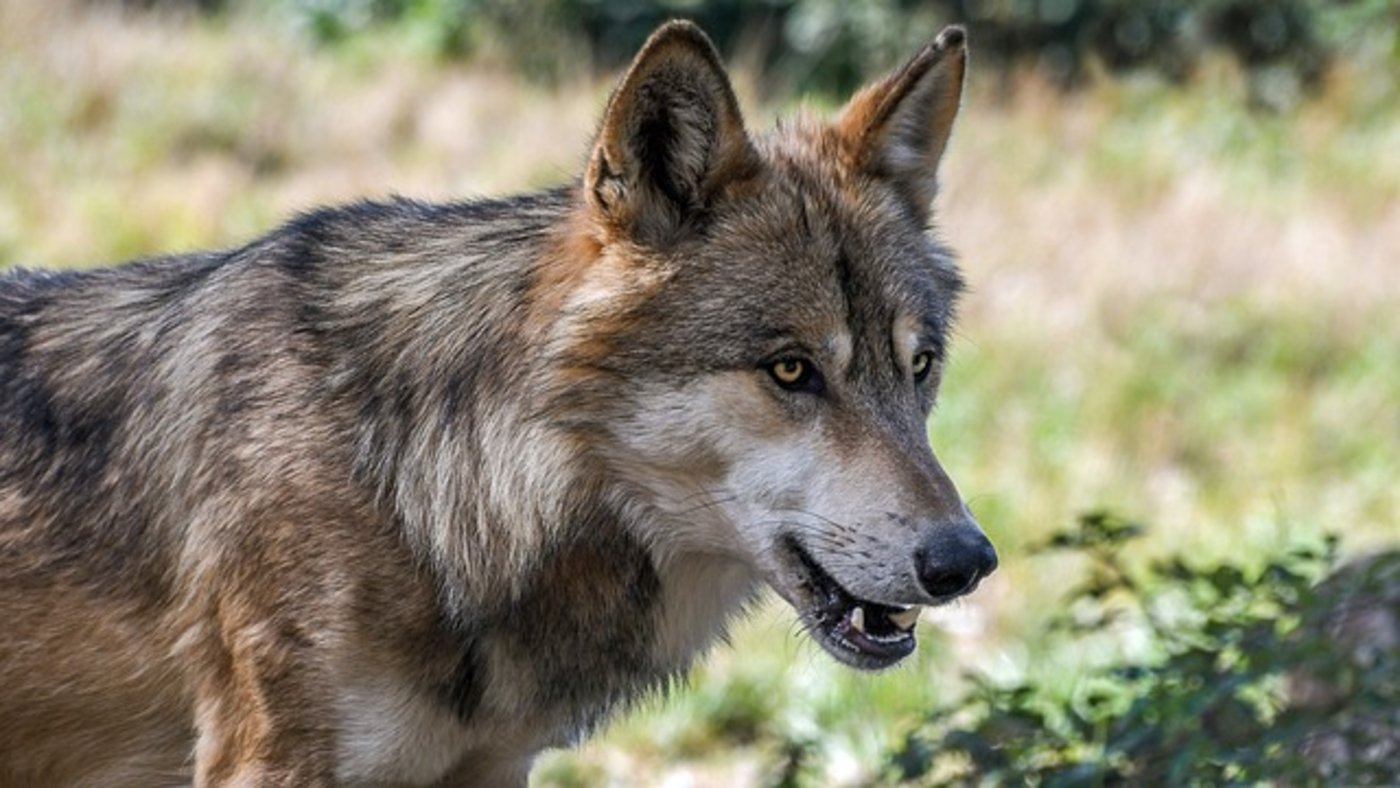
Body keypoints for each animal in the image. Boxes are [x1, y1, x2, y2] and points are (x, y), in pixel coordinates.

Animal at [0, 20, 995, 787]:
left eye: (919, 366)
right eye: (791, 371)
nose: (967, 560)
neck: (420, 489)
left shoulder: (493, 766)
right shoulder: (268, 762)